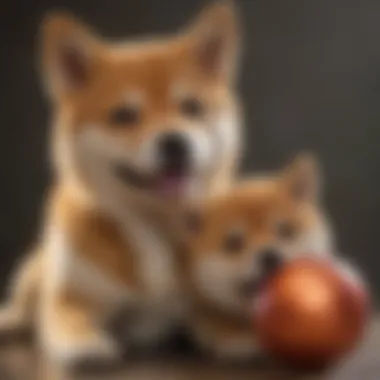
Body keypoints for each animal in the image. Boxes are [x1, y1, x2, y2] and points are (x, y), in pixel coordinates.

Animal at [0, 1, 242, 370]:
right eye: (124, 115)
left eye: (192, 107)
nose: (175, 142)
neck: (156, 227)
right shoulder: (71, 298)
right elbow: (68, 316)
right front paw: (84, 343)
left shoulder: (199, 299)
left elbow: (217, 313)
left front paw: (235, 334)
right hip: (37, 271)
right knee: (25, 305)